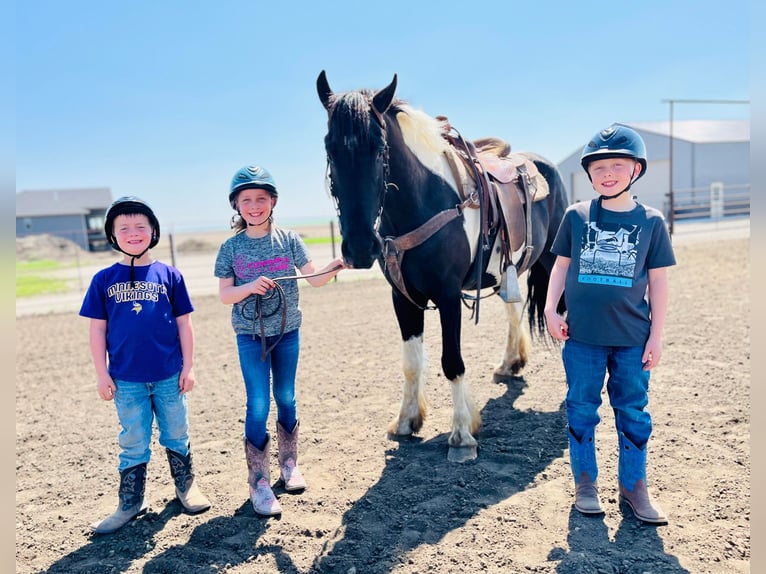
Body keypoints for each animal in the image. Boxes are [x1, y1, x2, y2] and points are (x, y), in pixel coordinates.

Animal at [316, 70, 568, 464]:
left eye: (379, 147)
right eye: (330, 148)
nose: (358, 247)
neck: (424, 202)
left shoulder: (448, 297)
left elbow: (453, 362)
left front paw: (462, 434)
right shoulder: (403, 298)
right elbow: (411, 362)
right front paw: (407, 421)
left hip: (555, 260)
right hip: (507, 269)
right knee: (513, 310)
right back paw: (510, 363)